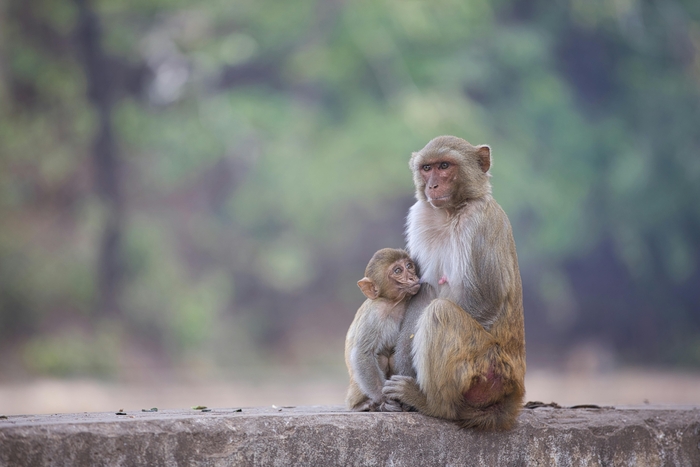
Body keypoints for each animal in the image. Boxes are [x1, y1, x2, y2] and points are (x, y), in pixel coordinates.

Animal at [346, 247, 422, 412]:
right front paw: (384, 399)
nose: (412, 277)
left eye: (409, 266)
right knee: (379, 357)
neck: (394, 304)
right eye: (398, 270)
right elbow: (363, 353)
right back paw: (361, 405)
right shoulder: (375, 314)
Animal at [382, 135, 524, 432]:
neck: (452, 212)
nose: (433, 185)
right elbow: (423, 291)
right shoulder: (421, 216)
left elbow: (487, 299)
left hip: (488, 371)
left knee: (441, 313)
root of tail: (514, 391)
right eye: (427, 168)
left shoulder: (482, 222)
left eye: (445, 166)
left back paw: (432, 404)